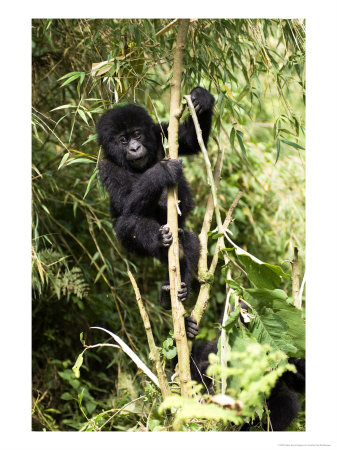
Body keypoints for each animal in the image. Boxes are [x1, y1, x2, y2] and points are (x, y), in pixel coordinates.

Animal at [96, 86, 214, 308]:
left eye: (137, 134)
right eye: (123, 140)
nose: (134, 148)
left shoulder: (161, 132)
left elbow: (190, 140)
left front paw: (201, 97)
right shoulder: (105, 166)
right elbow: (126, 205)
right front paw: (162, 171)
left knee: (191, 240)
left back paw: (177, 286)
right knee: (127, 223)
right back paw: (161, 240)